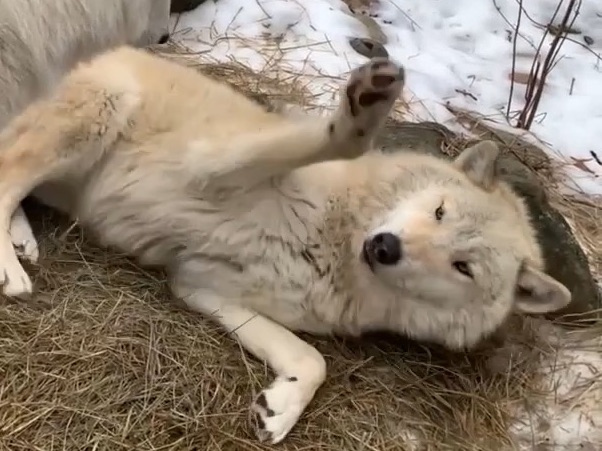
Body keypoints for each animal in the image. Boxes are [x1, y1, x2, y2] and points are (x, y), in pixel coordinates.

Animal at [0, 46, 568, 444]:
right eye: (440, 211)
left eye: (463, 266)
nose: (386, 247)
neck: (334, 241)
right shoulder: (210, 170)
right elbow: (337, 139)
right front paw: (362, 107)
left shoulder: (197, 284)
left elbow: (314, 362)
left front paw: (280, 409)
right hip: (102, 109)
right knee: (8, 176)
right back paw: (10, 265)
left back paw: (22, 238)